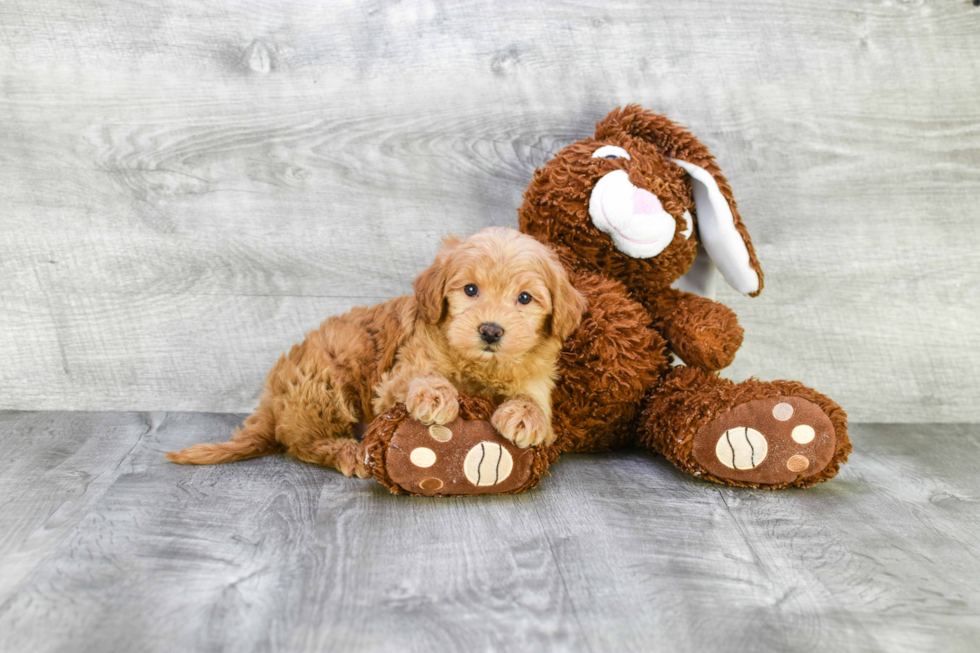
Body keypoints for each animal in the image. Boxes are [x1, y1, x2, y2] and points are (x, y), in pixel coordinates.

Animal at [167, 227, 588, 476]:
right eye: (470, 290)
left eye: (525, 298)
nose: (490, 330)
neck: (480, 367)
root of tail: (272, 400)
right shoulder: (393, 380)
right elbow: (419, 378)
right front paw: (435, 395)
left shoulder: (538, 379)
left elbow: (535, 403)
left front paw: (525, 418)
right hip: (327, 380)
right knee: (304, 444)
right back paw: (351, 454)